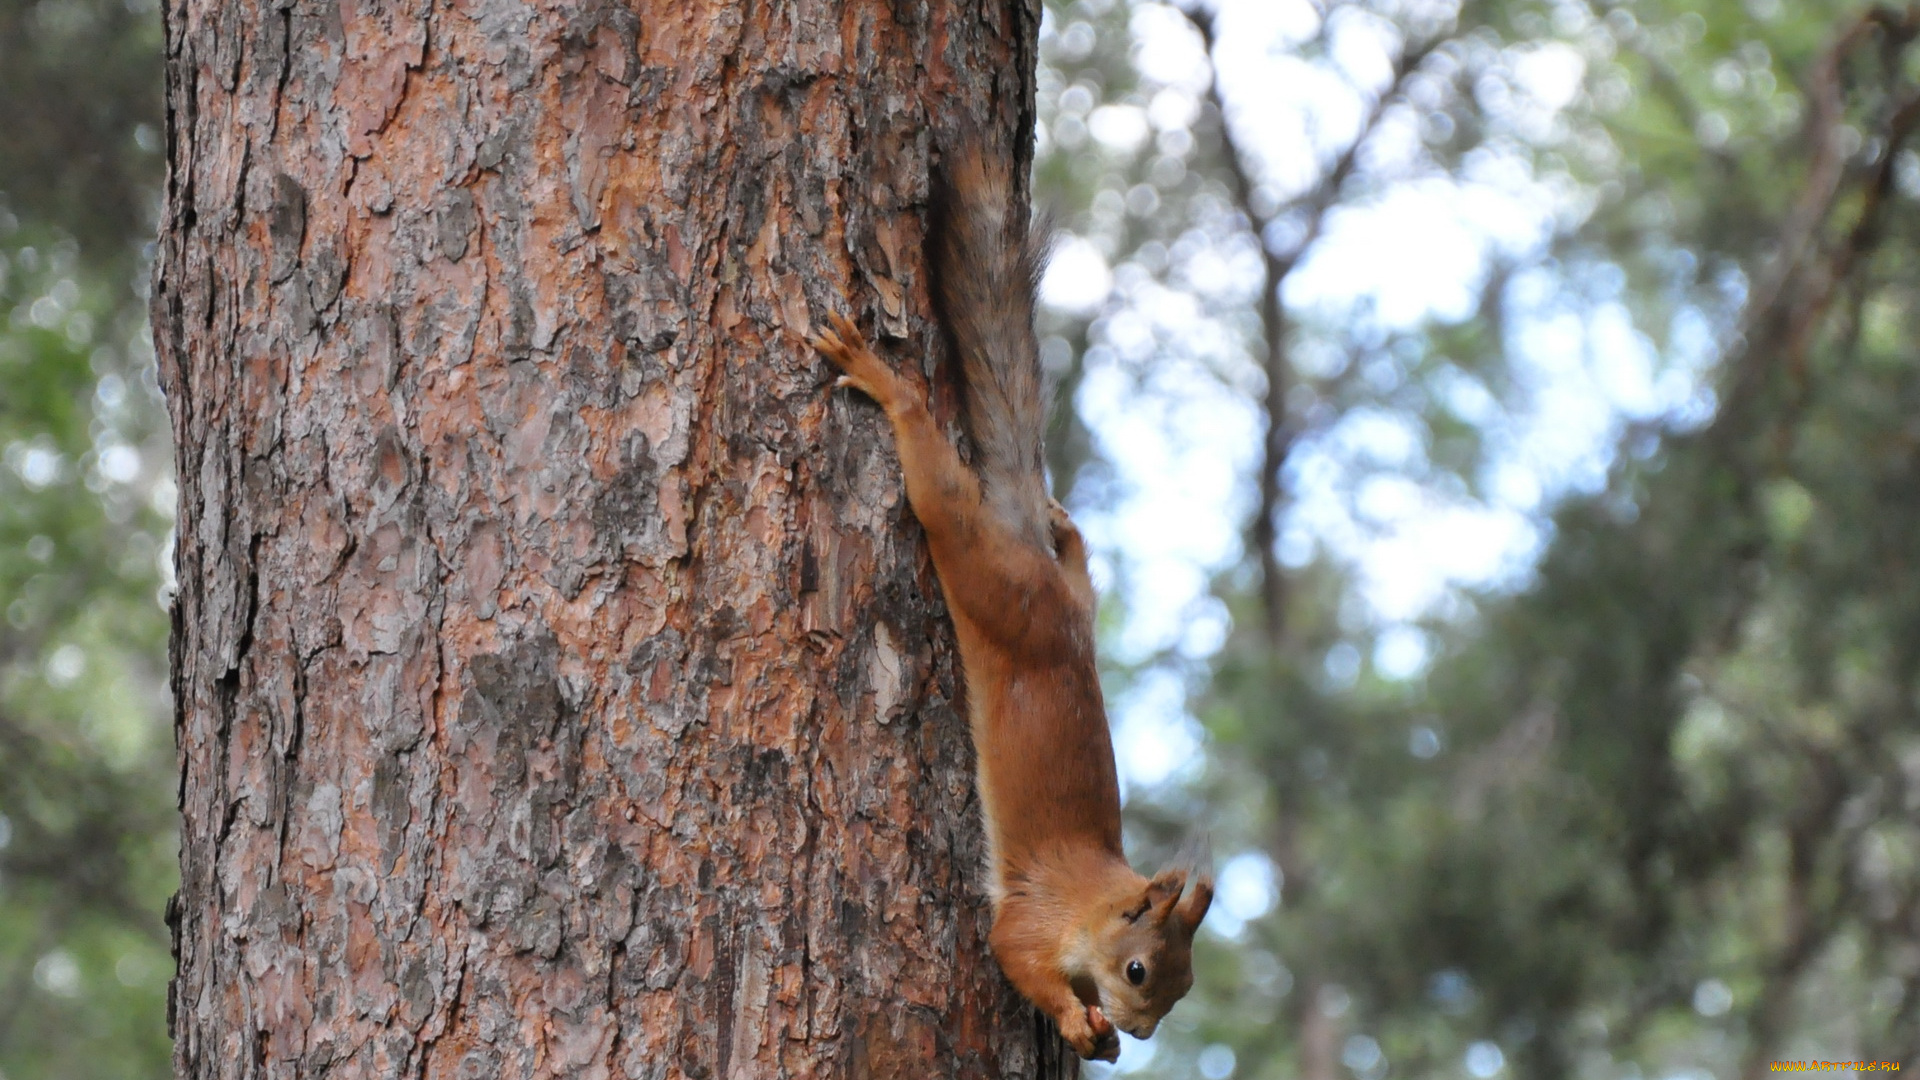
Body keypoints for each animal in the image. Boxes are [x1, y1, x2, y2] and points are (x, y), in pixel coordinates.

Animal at [814, 138, 1213, 1053]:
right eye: (1139, 971)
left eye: (1184, 989)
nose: (1142, 1037)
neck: (1098, 901)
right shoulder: (1032, 921)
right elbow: (1015, 956)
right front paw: (1078, 1024)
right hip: (987, 572)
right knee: (941, 494)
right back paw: (887, 384)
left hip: (1060, 599)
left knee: (1077, 573)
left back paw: (1067, 533)